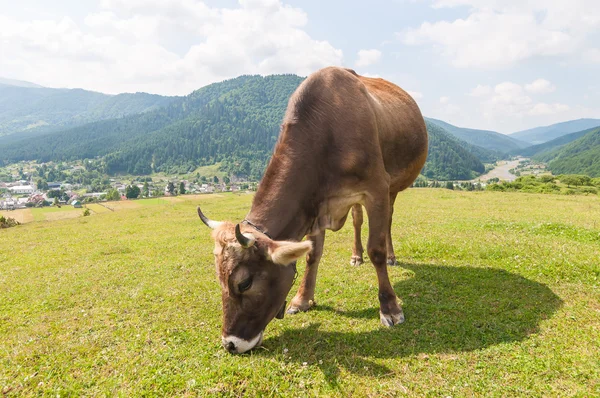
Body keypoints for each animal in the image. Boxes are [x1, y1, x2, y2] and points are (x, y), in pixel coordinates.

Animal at [199, 66, 428, 354]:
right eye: (219, 279)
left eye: (244, 283)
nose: (230, 343)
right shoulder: (316, 206)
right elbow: (312, 255)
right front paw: (302, 299)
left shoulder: (377, 187)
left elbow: (376, 249)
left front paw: (390, 307)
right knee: (357, 219)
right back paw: (356, 256)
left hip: (393, 187)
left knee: (387, 222)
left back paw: (391, 256)